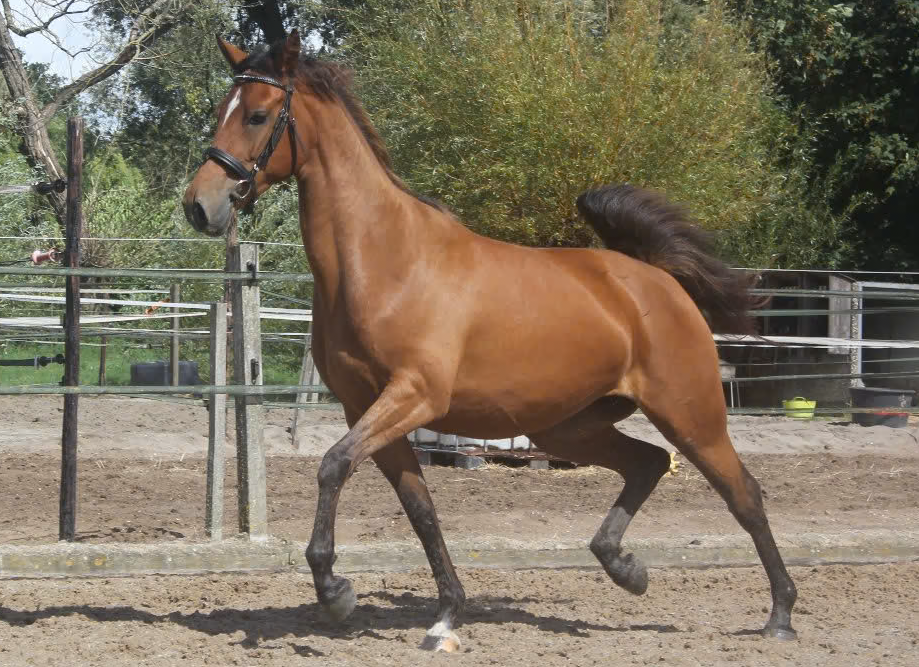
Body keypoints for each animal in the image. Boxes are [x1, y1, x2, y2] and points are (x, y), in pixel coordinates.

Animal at [183, 30, 797, 652]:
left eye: (258, 115)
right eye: (222, 110)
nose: (198, 205)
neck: (385, 261)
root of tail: (656, 279)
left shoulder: (413, 396)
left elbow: (333, 465)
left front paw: (335, 591)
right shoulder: (368, 406)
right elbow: (420, 509)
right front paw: (446, 616)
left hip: (690, 415)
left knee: (743, 493)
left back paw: (780, 615)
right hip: (568, 426)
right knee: (648, 463)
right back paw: (625, 567)